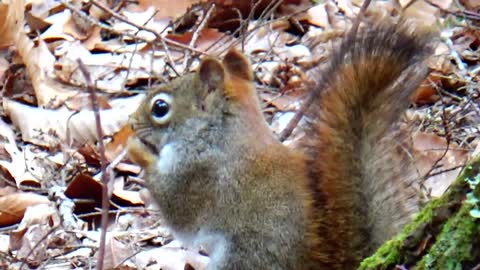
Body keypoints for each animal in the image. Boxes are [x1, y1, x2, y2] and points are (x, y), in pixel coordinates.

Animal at [125, 20, 434, 268]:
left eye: (160, 108)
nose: (131, 122)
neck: (223, 133)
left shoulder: (199, 174)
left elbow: (177, 210)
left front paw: (134, 148)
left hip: (246, 258)